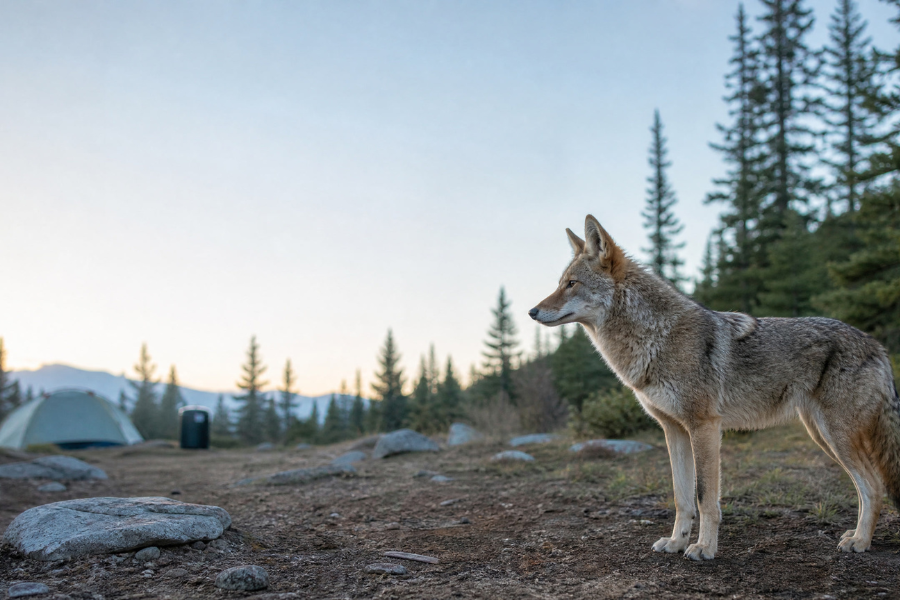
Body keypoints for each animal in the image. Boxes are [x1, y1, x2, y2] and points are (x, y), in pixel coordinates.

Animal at [529, 215, 900, 560]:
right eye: (560, 283)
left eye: (571, 284)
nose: (532, 311)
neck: (655, 338)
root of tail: (877, 345)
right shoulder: (674, 431)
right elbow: (681, 497)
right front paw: (677, 543)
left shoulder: (704, 426)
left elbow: (705, 497)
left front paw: (705, 548)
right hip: (823, 437)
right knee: (867, 488)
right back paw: (856, 535)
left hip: (835, 437)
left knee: (874, 486)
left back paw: (861, 542)